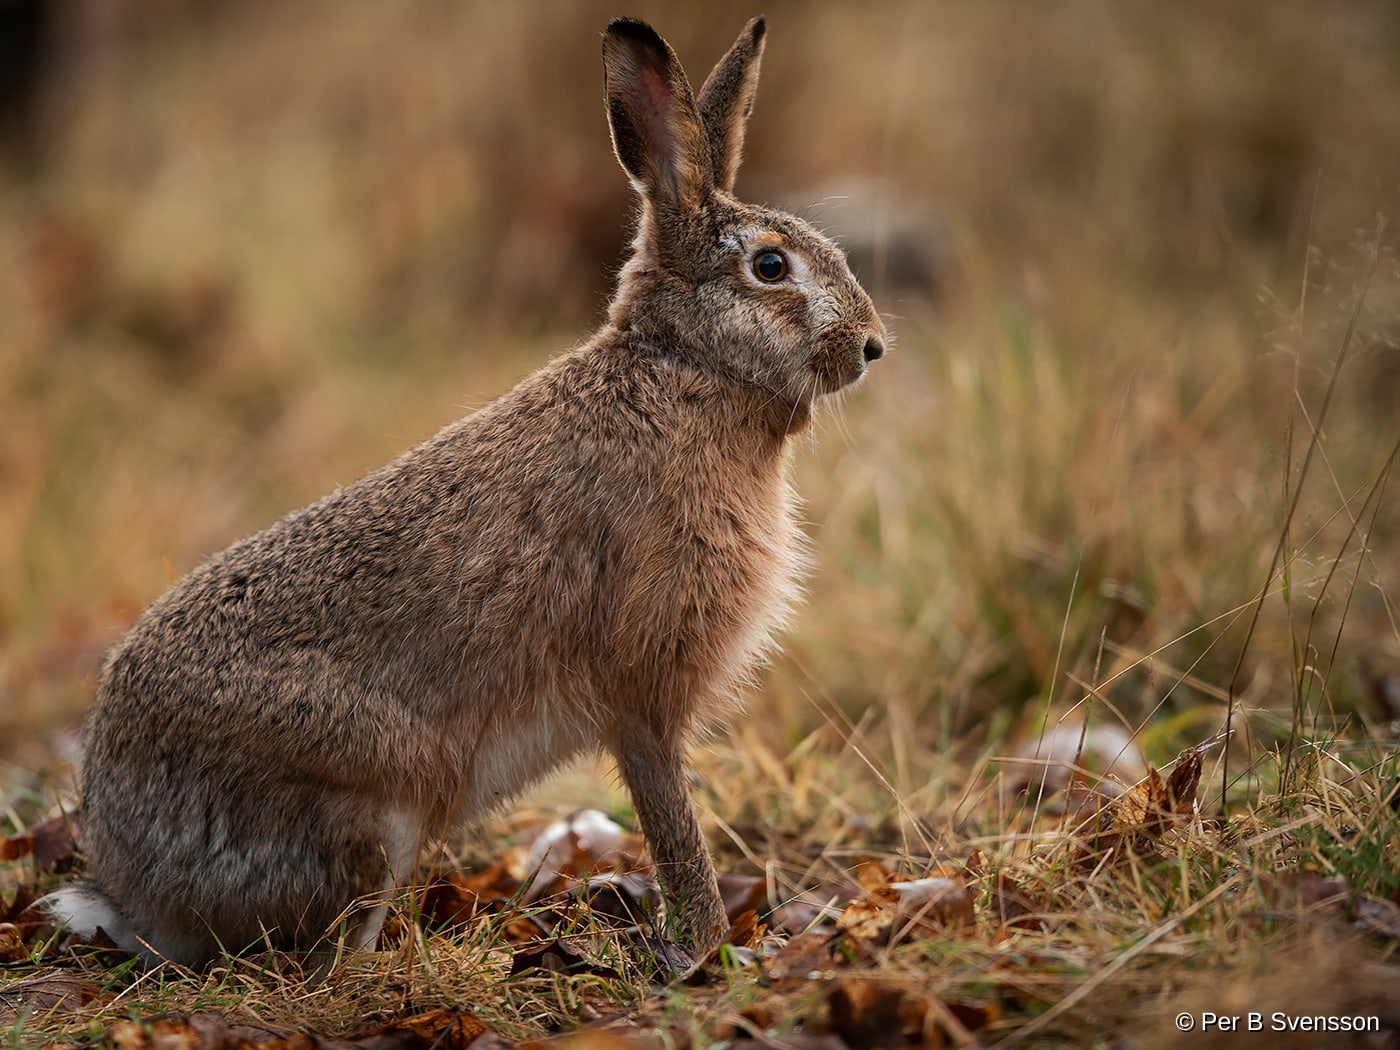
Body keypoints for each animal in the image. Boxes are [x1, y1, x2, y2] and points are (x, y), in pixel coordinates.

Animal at [42, 14, 886, 970]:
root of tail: (131, 888)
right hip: (373, 810)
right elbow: (672, 820)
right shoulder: (643, 684)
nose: (871, 346)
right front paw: (707, 950)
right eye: (771, 268)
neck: (687, 369)